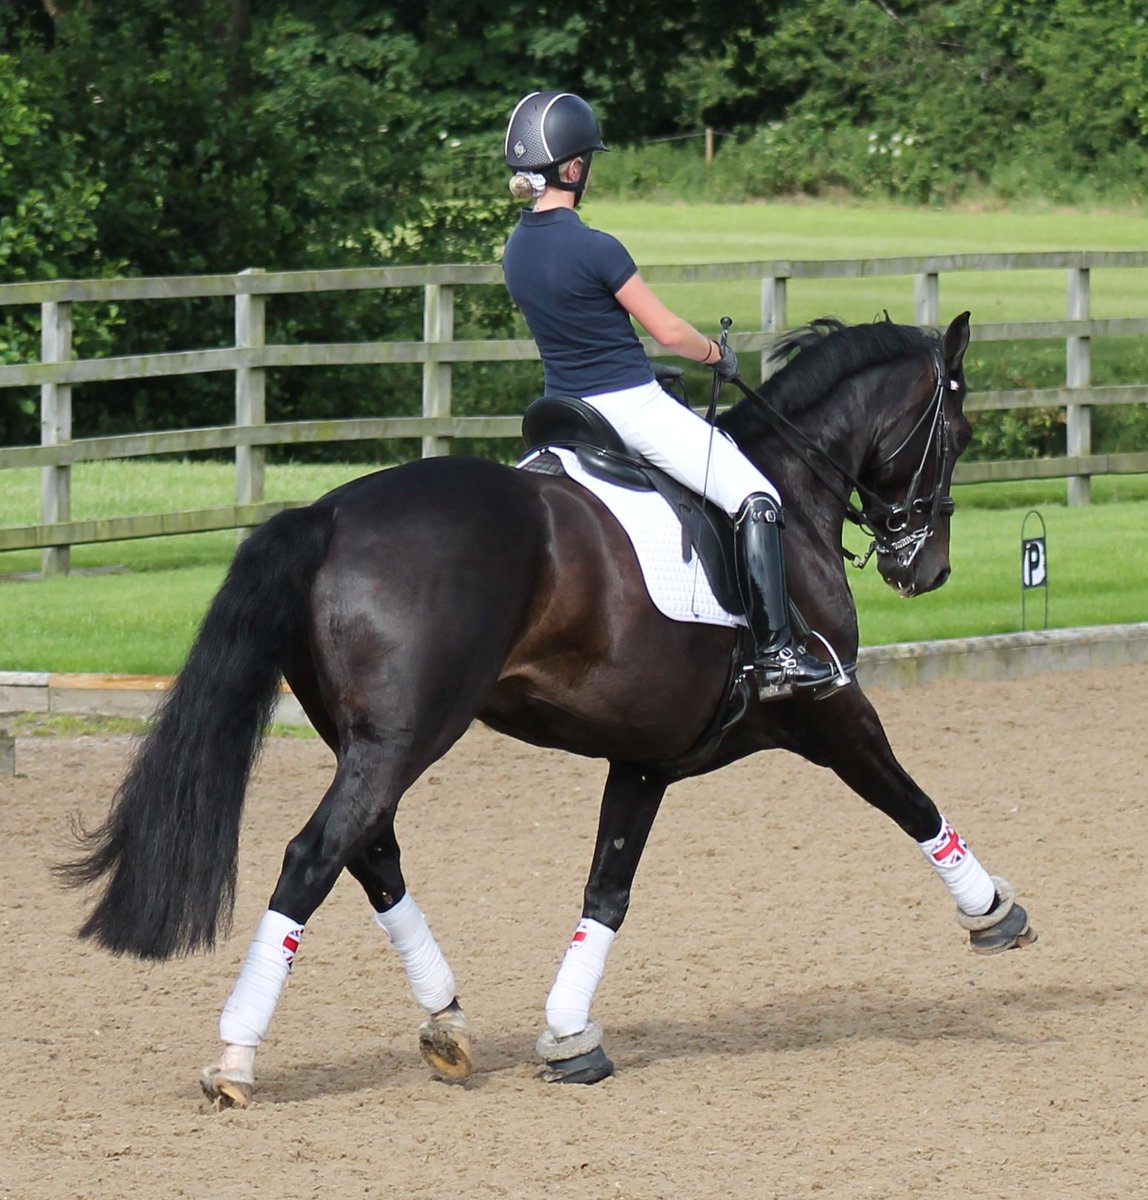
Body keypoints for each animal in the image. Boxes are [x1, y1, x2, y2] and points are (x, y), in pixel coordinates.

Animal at [59, 311, 1035, 1108]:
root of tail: (331, 513)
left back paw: (447, 1023)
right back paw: (238, 1057)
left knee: (371, 852)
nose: (927, 568)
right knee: (316, 856)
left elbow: (607, 889)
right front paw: (993, 910)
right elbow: (910, 799)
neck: (790, 492)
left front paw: (569, 1035)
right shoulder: (829, 710)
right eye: (960, 429)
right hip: (409, 736)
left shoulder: (647, 756)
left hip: (370, 740)